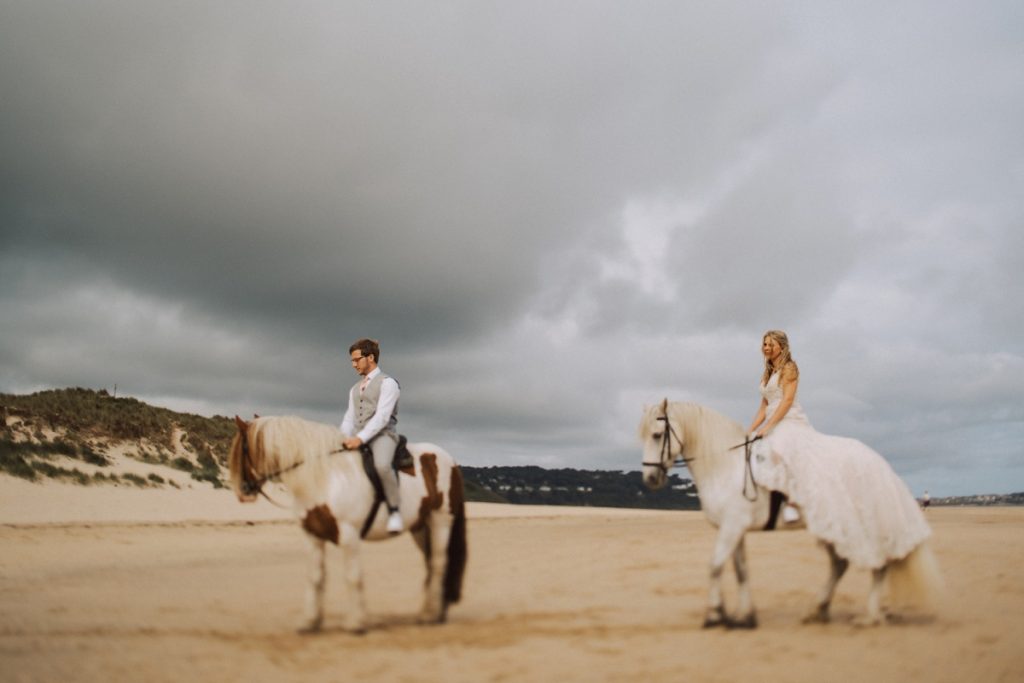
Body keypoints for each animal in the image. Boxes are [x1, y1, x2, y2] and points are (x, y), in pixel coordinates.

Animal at [229, 413, 468, 634]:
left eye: (242, 450)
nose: (242, 492)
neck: (325, 477)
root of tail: (451, 461)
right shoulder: (313, 535)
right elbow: (315, 577)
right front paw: (310, 622)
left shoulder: (348, 534)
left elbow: (353, 577)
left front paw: (356, 623)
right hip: (421, 527)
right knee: (429, 564)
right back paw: (432, 612)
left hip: (440, 521)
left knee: (438, 563)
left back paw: (430, 616)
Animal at [634, 401, 937, 630]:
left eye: (657, 435)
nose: (650, 479)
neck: (726, 465)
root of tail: (879, 462)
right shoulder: (734, 529)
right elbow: (741, 571)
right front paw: (743, 617)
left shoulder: (732, 527)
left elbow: (715, 566)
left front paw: (714, 615)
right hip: (832, 528)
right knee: (839, 566)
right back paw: (818, 610)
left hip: (863, 528)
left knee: (878, 566)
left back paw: (869, 617)